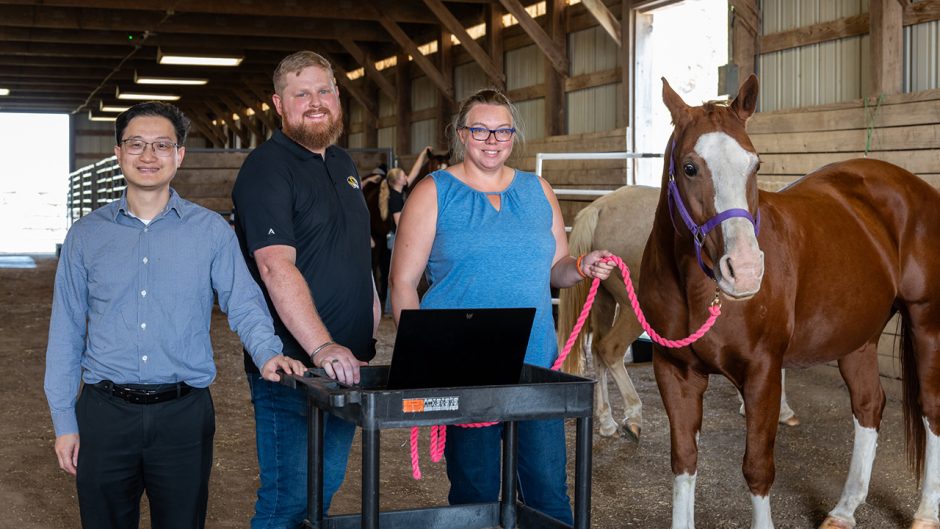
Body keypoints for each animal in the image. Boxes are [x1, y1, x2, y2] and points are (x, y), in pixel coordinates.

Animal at [560, 184, 800, 440]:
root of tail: (599, 207)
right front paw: (780, 410)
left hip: (603, 300)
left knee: (597, 350)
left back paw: (607, 422)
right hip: (632, 310)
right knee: (609, 349)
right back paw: (633, 414)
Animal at [640, 71, 940, 528]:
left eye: (755, 164)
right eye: (689, 167)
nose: (745, 271)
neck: (696, 289)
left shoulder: (763, 372)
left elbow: (757, 468)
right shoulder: (674, 372)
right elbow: (684, 461)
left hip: (926, 323)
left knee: (930, 409)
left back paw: (925, 513)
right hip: (858, 337)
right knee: (869, 406)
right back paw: (844, 510)